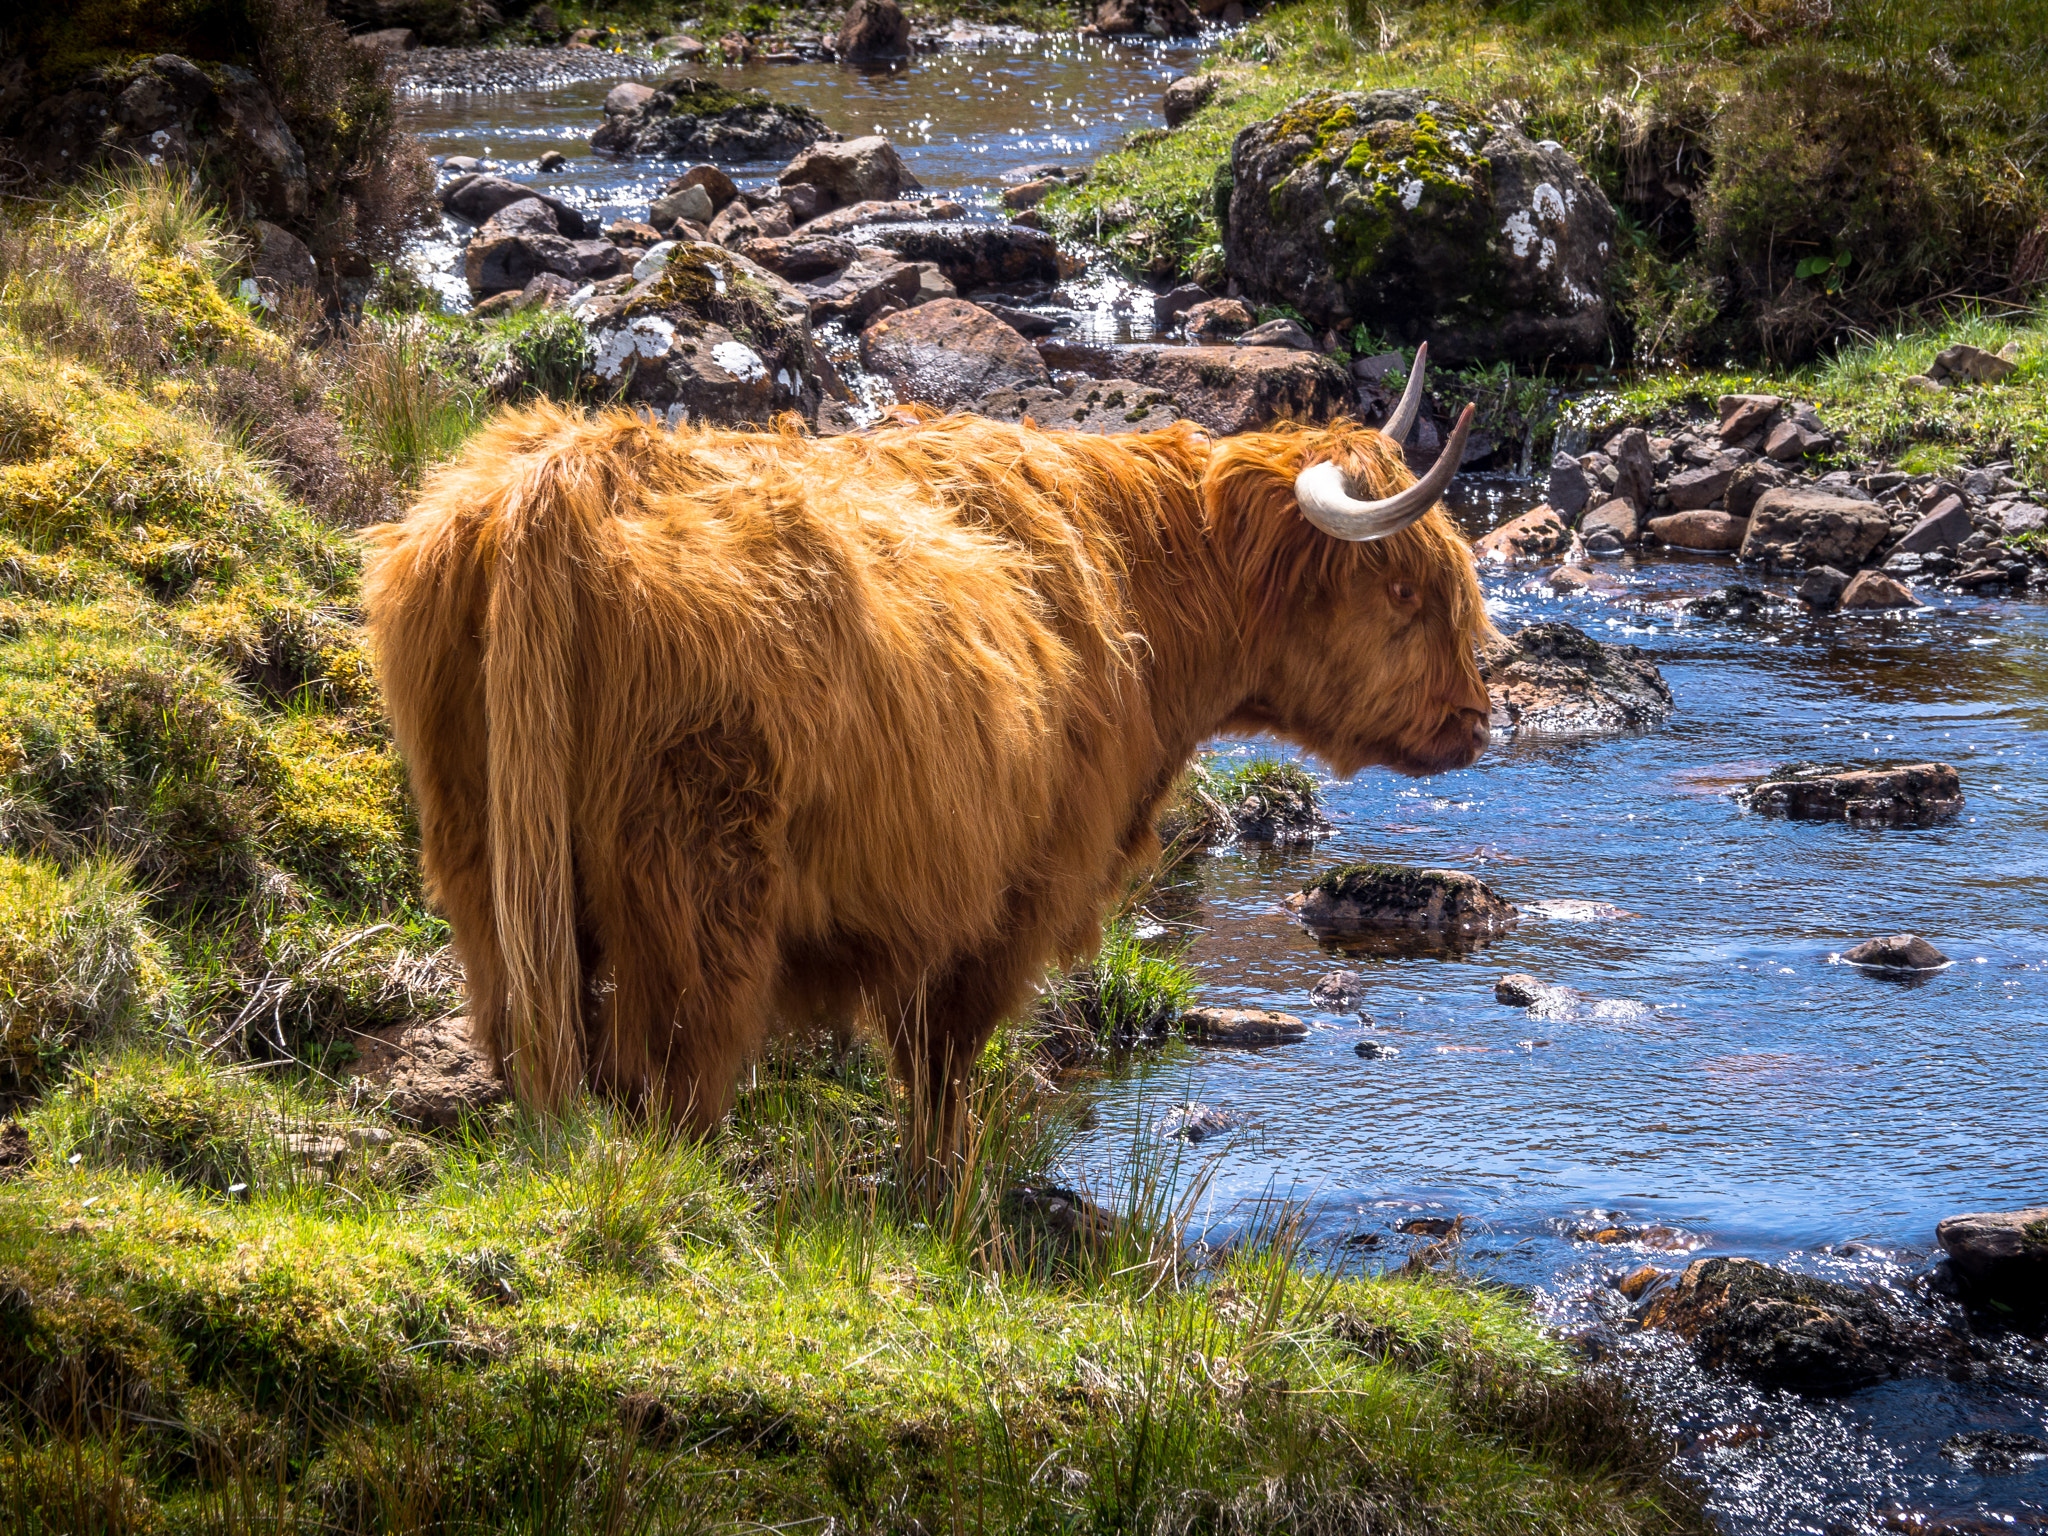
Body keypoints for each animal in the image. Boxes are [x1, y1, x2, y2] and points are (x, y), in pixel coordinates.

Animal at [362, 346, 1493, 1157]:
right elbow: (942, 1068)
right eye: (1401, 591)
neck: (1136, 581)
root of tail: (572, 475)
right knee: (672, 1082)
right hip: (699, 885)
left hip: (483, 863)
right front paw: (948, 1203)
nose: (1474, 720)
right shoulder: (1002, 896)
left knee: (529, 1037)